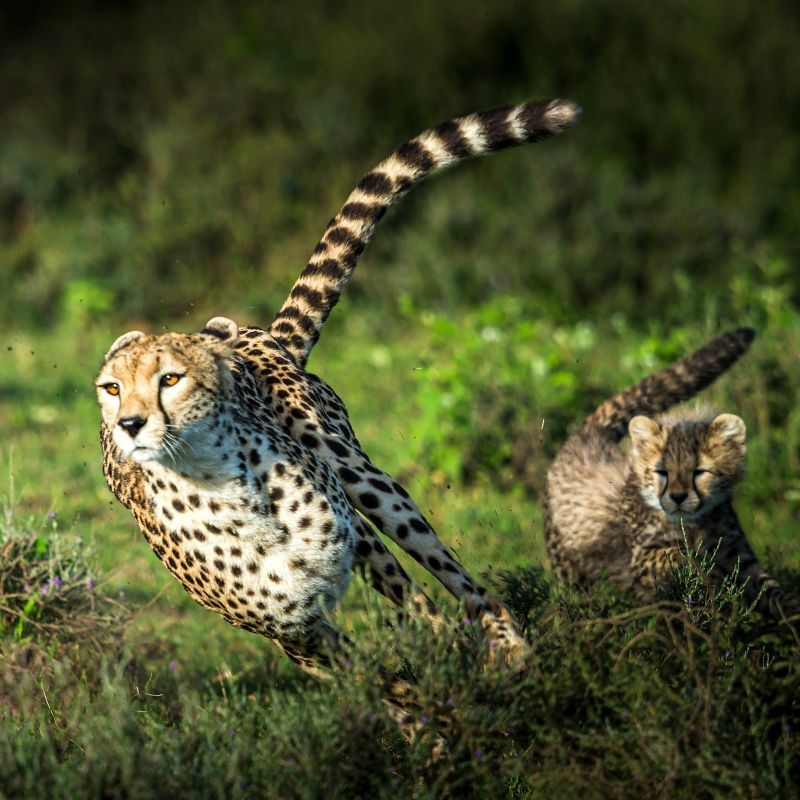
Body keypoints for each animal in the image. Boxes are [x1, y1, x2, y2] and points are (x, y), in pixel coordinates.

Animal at [97, 98, 582, 712]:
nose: (129, 424)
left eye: (171, 379)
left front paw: (458, 681)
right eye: (111, 388)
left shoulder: (357, 544)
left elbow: (424, 619)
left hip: (361, 476)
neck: (223, 490)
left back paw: (507, 646)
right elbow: (382, 683)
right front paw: (430, 720)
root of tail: (257, 333)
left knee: (457, 579)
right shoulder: (296, 634)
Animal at [544, 327, 800, 635]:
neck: (697, 523)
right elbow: (677, 555)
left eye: (699, 472)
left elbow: (772, 590)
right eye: (661, 471)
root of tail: (587, 436)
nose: (677, 497)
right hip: (569, 568)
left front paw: (794, 613)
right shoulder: (639, 559)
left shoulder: (738, 555)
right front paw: (705, 574)